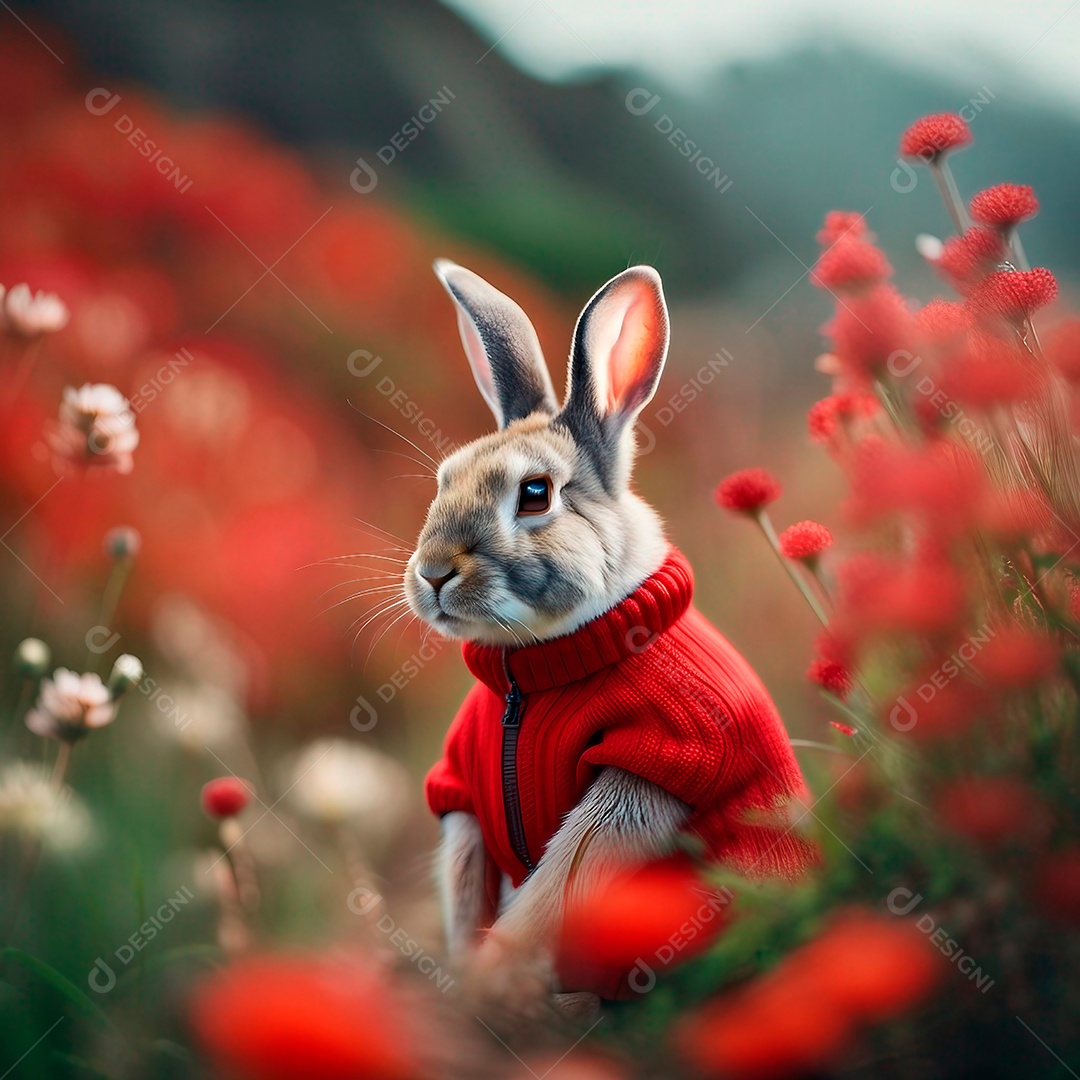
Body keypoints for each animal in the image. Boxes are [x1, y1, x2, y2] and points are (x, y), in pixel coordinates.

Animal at [406, 260, 813, 1000]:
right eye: (444, 480)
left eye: (535, 494)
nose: (433, 572)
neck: (535, 671)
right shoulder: (465, 802)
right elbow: (467, 886)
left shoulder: (652, 764)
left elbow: (562, 883)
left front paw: (488, 981)